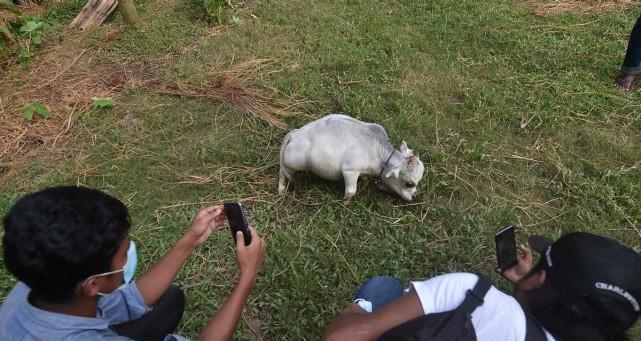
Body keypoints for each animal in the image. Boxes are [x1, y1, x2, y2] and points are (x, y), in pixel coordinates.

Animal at [276, 113, 422, 199]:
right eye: (409, 184)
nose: (415, 196)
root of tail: (295, 134)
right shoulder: (350, 170)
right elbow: (351, 191)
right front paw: (345, 203)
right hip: (292, 165)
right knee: (283, 173)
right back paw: (282, 190)